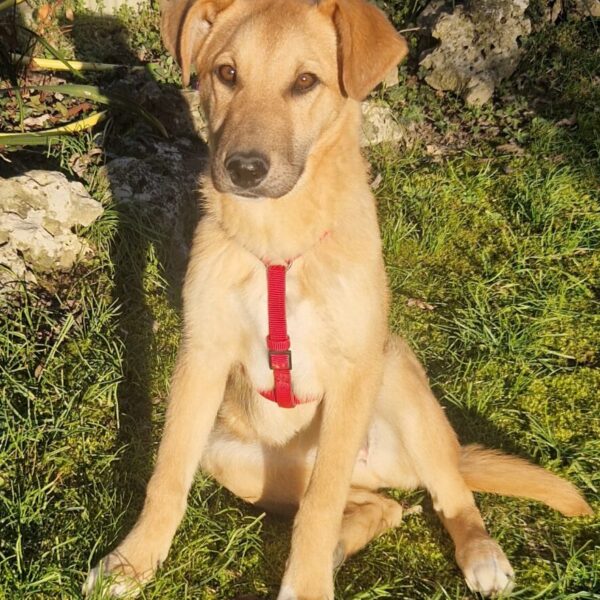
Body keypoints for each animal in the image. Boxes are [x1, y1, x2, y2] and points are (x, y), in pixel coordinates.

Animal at [84, 0, 593, 597]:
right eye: (227, 74)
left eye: (306, 82)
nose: (244, 169)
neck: (278, 241)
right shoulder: (201, 358)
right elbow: (166, 475)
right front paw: (132, 562)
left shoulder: (353, 371)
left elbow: (320, 506)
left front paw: (305, 587)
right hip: (237, 459)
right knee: (380, 506)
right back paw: (340, 547)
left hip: (396, 376)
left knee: (446, 491)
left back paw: (478, 552)